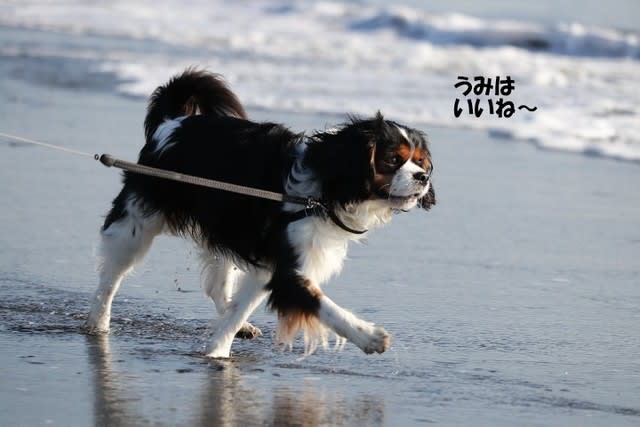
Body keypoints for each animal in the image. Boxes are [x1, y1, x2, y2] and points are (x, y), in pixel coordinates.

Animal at [85, 69, 436, 358]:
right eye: (393, 160)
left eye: (421, 162)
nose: (423, 178)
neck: (325, 188)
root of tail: (172, 122)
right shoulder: (287, 270)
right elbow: (324, 306)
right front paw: (370, 337)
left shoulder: (269, 266)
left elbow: (240, 308)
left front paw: (217, 350)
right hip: (136, 224)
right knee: (111, 278)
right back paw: (98, 323)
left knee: (220, 289)